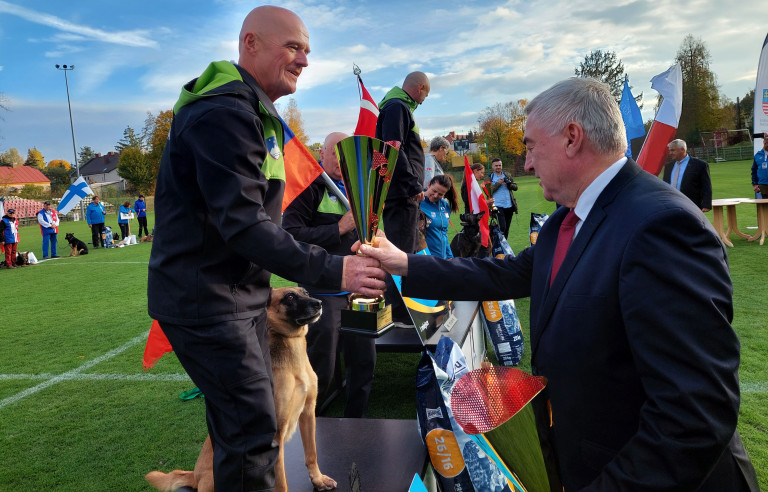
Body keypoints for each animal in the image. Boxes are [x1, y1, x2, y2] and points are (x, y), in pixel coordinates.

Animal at [144, 286, 336, 490]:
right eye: (290, 297)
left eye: (305, 293)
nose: (319, 303)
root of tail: (195, 476)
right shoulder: (276, 438)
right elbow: (281, 483)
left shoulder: (308, 412)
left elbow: (312, 453)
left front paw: (318, 479)